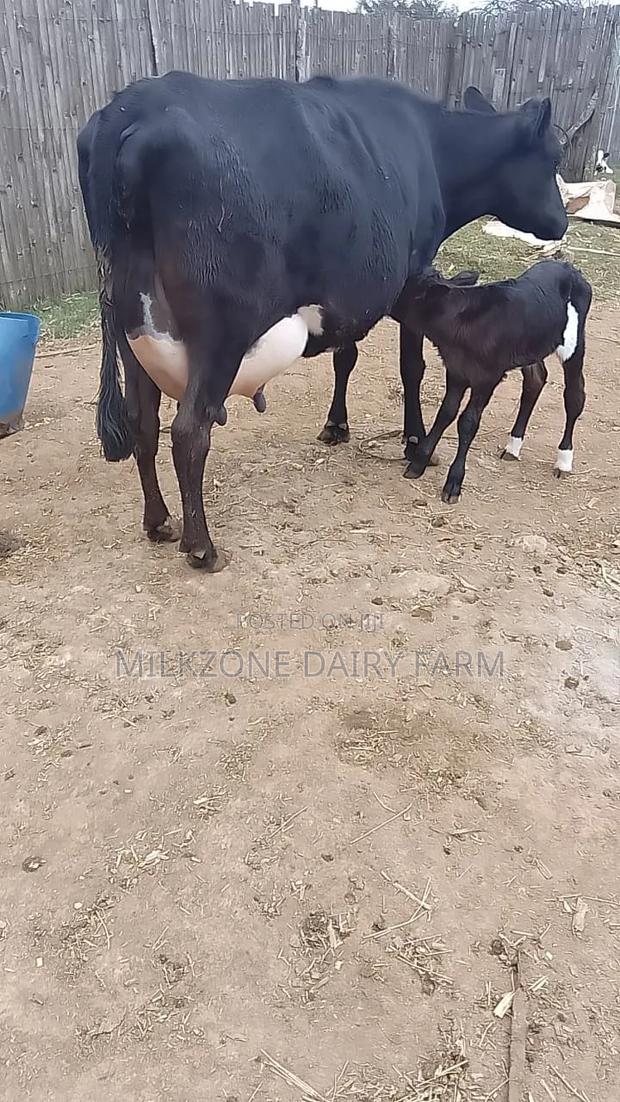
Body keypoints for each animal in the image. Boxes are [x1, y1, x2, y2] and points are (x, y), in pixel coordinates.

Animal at [78, 72, 567, 571]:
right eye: (554, 157)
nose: (562, 221)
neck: (431, 146)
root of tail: (132, 108)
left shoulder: (345, 292)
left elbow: (344, 356)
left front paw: (337, 425)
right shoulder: (412, 275)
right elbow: (412, 367)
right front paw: (415, 442)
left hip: (134, 328)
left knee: (142, 422)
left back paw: (158, 521)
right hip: (220, 334)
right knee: (188, 431)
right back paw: (201, 546)